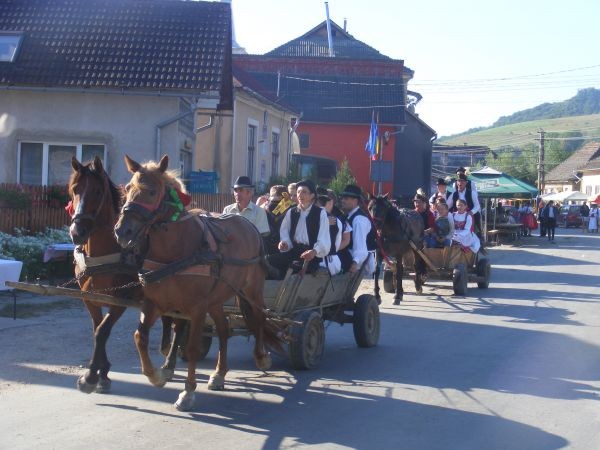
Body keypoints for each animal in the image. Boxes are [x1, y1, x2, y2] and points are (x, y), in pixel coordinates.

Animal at [68, 156, 177, 394]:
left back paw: (170, 363)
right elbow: (97, 329)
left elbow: (102, 331)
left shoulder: (121, 299)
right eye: (74, 190)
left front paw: (91, 376)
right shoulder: (90, 297)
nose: (77, 232)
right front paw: (103, 372)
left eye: (98, 191)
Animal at [113, 154, 283, 411]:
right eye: (128, 189)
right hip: (216, 299)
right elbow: (140, 337)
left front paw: (188, 391)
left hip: (251, 290)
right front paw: (157, 375)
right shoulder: (156, 303)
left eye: (152, 192)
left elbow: (192, 347)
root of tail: (249, 225)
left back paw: (261, 357)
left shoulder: (196, 308)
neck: (176, 249)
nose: (123, 231)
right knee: (223, 329)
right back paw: (219, 374)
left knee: (259, 318)